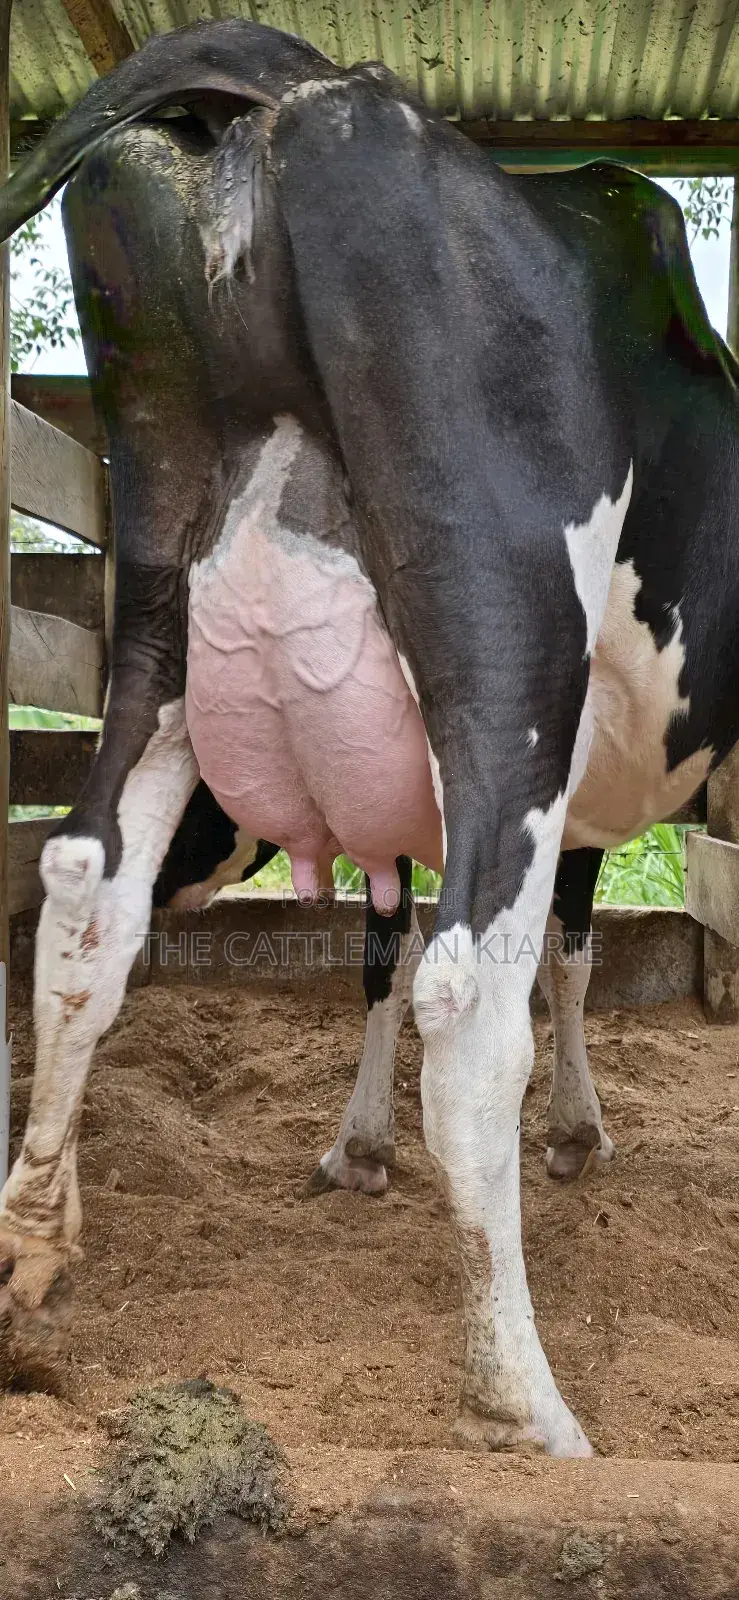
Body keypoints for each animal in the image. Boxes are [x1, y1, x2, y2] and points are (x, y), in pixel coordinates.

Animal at [0, 19, 735, 1458]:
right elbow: (550, 956)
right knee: (468, 996)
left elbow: (418, 949)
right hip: (507, 643)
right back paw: (523, 1403)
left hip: (161, 613)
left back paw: (31, 1251)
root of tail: (306, 87)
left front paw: (372, 1143)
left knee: (84, 891)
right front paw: (566, 1134)